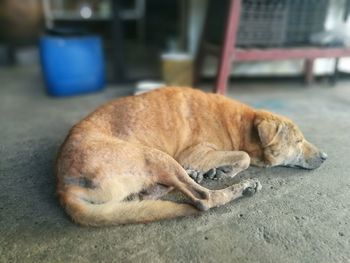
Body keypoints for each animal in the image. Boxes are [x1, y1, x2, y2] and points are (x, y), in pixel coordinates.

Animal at [56, 87, 326, 226]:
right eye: (299, 141)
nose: (325, 156)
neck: (240, 124)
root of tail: (63, 189)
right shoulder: (194, 152)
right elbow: (244, 156)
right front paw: (227, 171)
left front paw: (216, 170)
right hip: (158, 156)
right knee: (204, 199)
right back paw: (242, 186)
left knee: (146, 195)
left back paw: (194, 175)